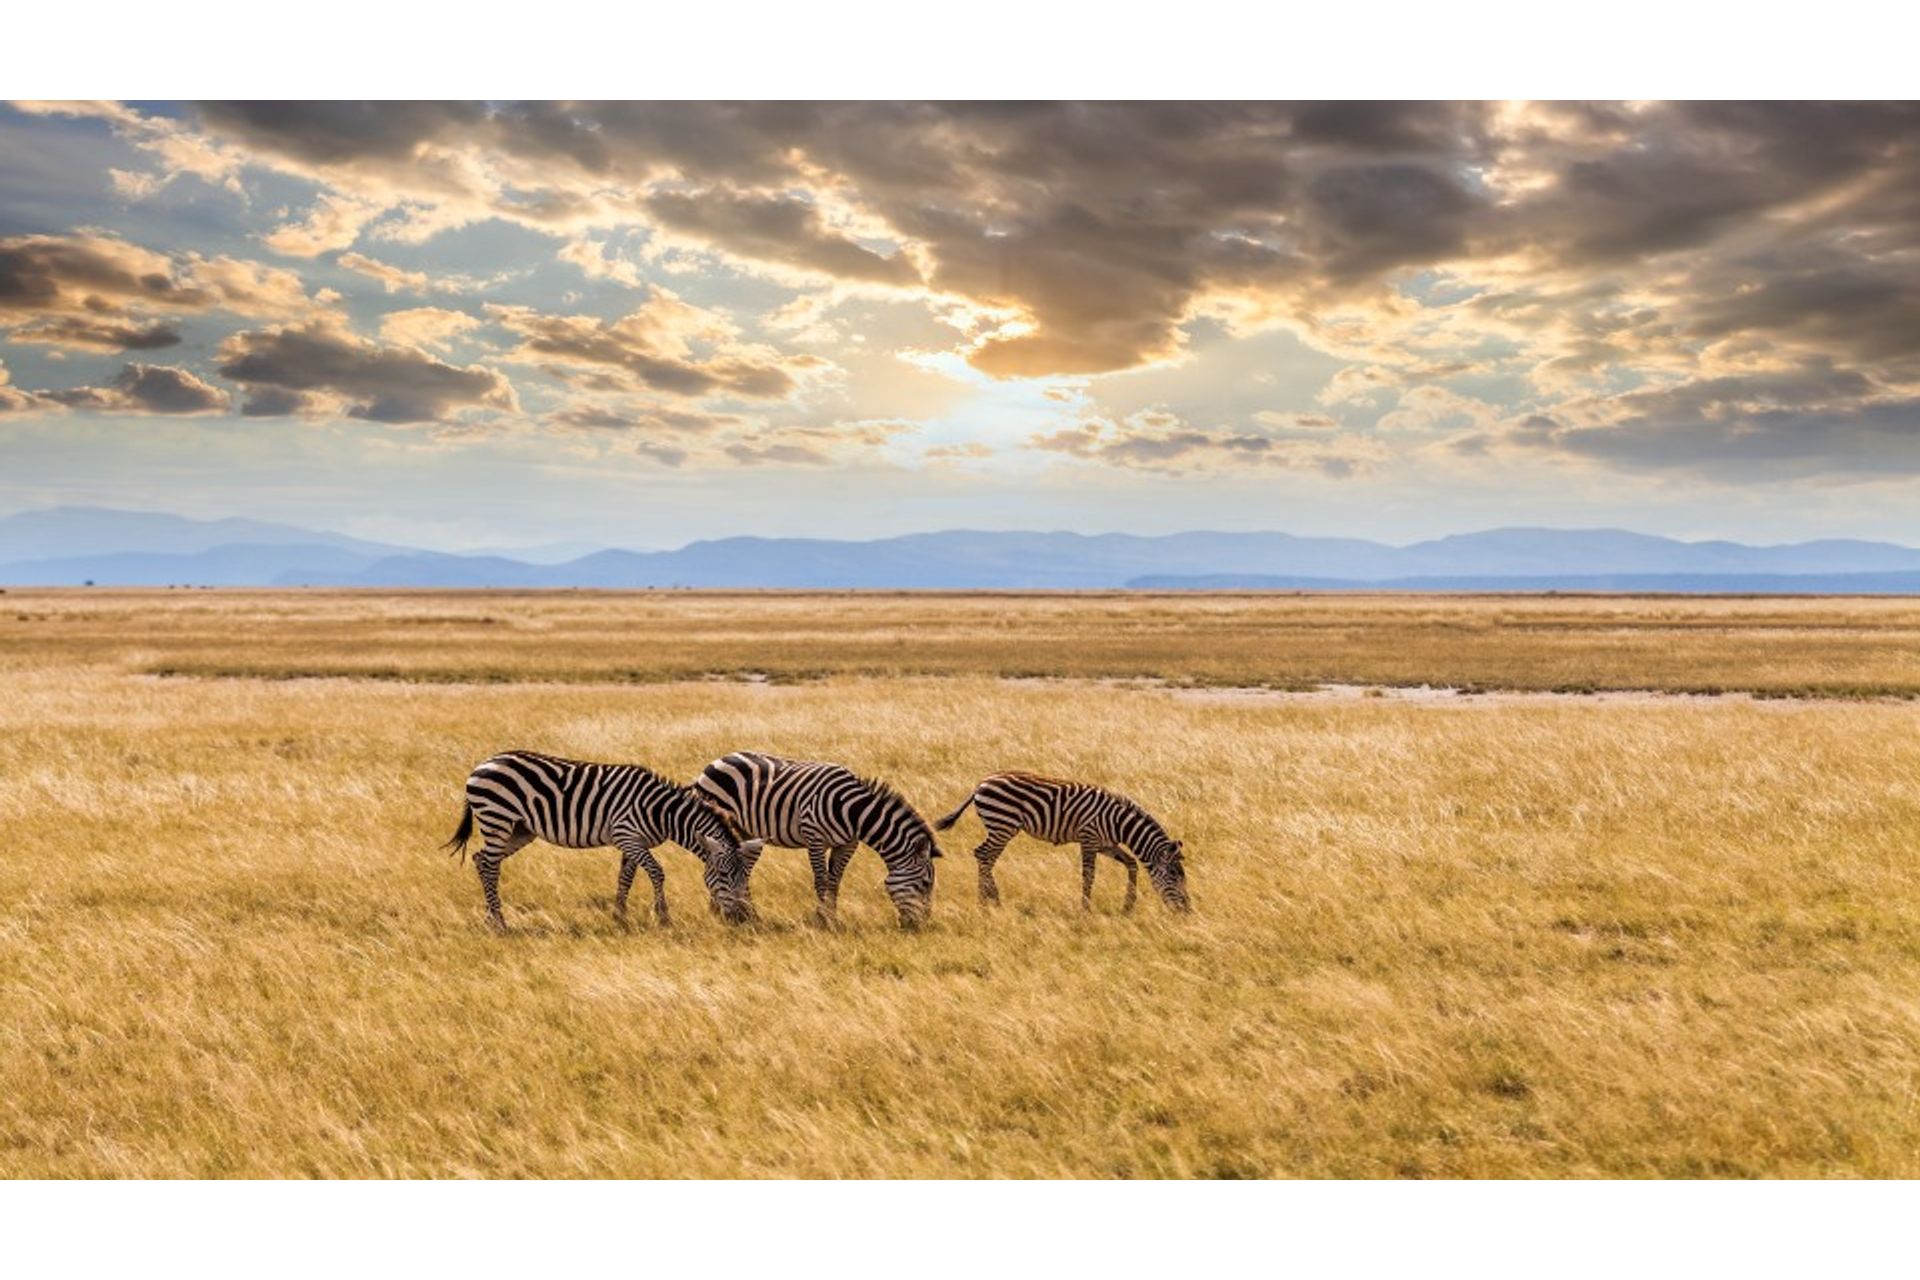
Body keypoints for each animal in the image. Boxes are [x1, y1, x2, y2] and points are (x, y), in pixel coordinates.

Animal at [439, 752, 760, 932]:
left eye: (744, 876)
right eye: (722, 873)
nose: (741, 918)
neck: (662, 811)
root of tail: (482, 764)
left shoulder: (632, 842)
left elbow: (625, 878)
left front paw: (619, 917)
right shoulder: (627, 834)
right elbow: (657, 872)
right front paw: (663, 917)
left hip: (519, 830)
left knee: (481, 860)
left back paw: (490, 918)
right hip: (498, 819)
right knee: (490, 865)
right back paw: (500, 921)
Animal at [695, 756, 940, 924]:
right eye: (924, 884)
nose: (920, 925)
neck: (852, 812)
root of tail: (718, 760)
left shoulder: (848, 844)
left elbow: (834, 880)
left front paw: (832, 918)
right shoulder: (815, 838)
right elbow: (821, 880)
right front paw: (822, 920)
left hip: (746, 831)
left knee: (743, 866)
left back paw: (742, 913)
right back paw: (722, 911)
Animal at [929, 775, 1182, 917]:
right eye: (1174, 876)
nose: (1186, 911)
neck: (1118, 822)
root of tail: (981, 784)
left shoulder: (1105, 845)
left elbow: (1131, 863)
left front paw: (1128, 906)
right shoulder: (1089, 839)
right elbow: (1089, 875)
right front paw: (1085, 910)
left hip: (1001, 826)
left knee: (985, 856)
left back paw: (991, 900)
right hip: (1003, 824)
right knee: (983, 855)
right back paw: (987, 902)